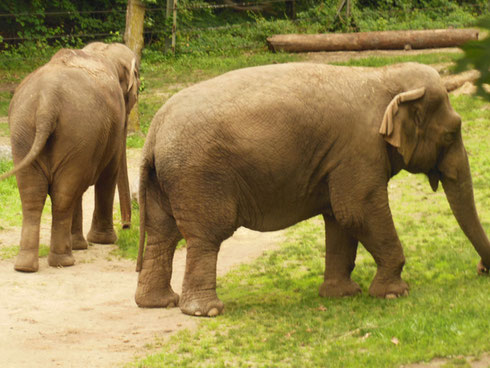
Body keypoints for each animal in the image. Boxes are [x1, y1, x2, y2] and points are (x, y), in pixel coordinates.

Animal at [0, 43, 139, 274]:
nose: (127, 226)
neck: (102, 50)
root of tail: (47, 101)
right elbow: (108, 174)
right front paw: (102, 241)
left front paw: (82, 244)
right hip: (76, 129)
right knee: (63, 194)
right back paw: (64, 261)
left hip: (25, 131)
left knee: (34, 194)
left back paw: (26, 267)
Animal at [134, 61, 490, 316]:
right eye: (451, 133)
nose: (481, 270)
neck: (380, 76)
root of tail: (154, 131)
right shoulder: (359, 151)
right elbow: (357, 211)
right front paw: (394, 293)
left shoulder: (339, 160)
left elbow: (340, 218)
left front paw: (342, 294)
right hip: (199, 176)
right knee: (205, 237)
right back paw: (205, 311)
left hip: (165, 181)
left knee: (162, 235)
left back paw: (159, 303)